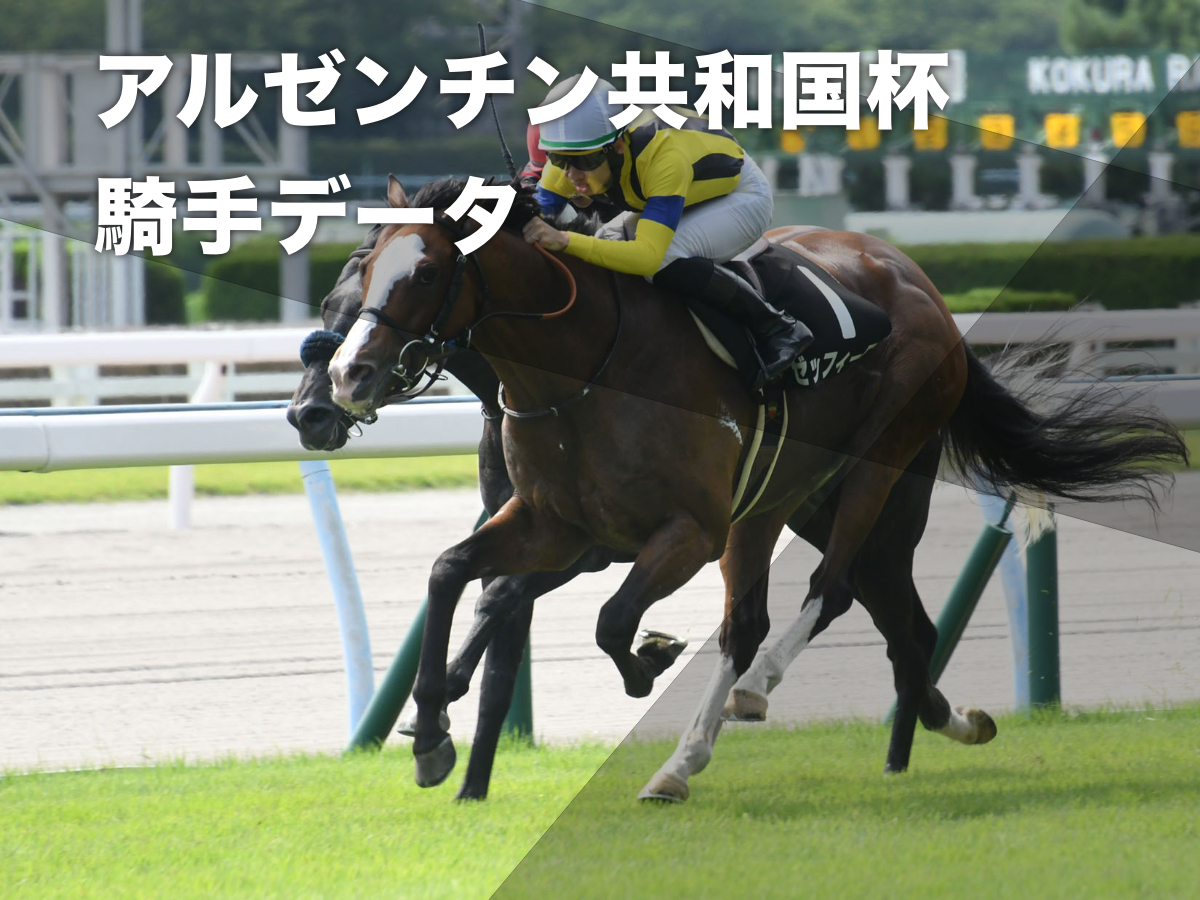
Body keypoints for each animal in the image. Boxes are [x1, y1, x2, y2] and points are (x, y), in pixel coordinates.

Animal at [323, 177, 1187, 801]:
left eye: (425, 270)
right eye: (355, 277)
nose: (346, 377)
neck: (579, 364)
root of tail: (923, 286)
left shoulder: (685, 530)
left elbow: (610, 621)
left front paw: (649, 659)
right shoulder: (554, 524)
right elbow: (451, 572)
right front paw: (432, 735)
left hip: (875, 464)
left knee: (829, 591)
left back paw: (747, 701)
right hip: (783, 499)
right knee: (847, 619)